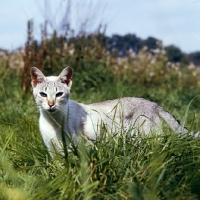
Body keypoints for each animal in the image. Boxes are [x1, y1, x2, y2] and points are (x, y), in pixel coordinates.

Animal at [29, 66, 198, 155]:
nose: (51, 104)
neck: (53, 121)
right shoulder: (54, 152)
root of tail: (152, 103)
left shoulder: (77, 148)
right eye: (43, 94)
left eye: (59, 94)